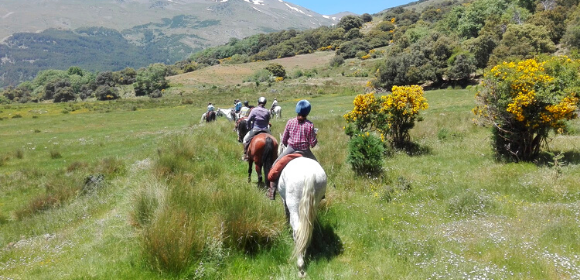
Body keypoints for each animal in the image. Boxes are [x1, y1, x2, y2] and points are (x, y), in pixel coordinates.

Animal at [276, 144, 326, 278]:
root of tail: (309, 175)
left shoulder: (284, 201)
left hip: (294, 203)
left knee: (298, 230)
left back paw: (300, 265)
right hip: (314, 203)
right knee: (307, 229)